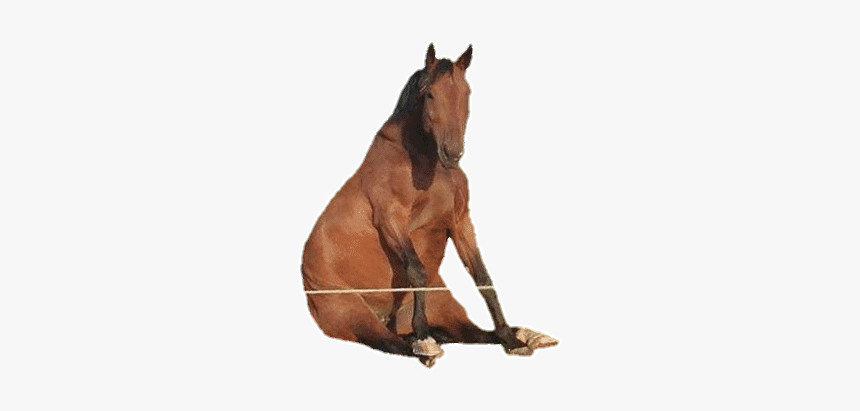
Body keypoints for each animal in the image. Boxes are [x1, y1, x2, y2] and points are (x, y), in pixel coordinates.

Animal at [301, 44, 557, 367]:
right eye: (430, 94)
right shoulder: (392, 219)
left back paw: (525, 335)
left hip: (446, 309)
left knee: (475, 334)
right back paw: (423, 344)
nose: (452, 153)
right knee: (393, 343)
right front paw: (423, 337)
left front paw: (511, 342)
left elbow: (482, 277)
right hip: (355, 315)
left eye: (466, 92)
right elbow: (417, 270)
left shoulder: (460, 221)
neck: (423, 160)